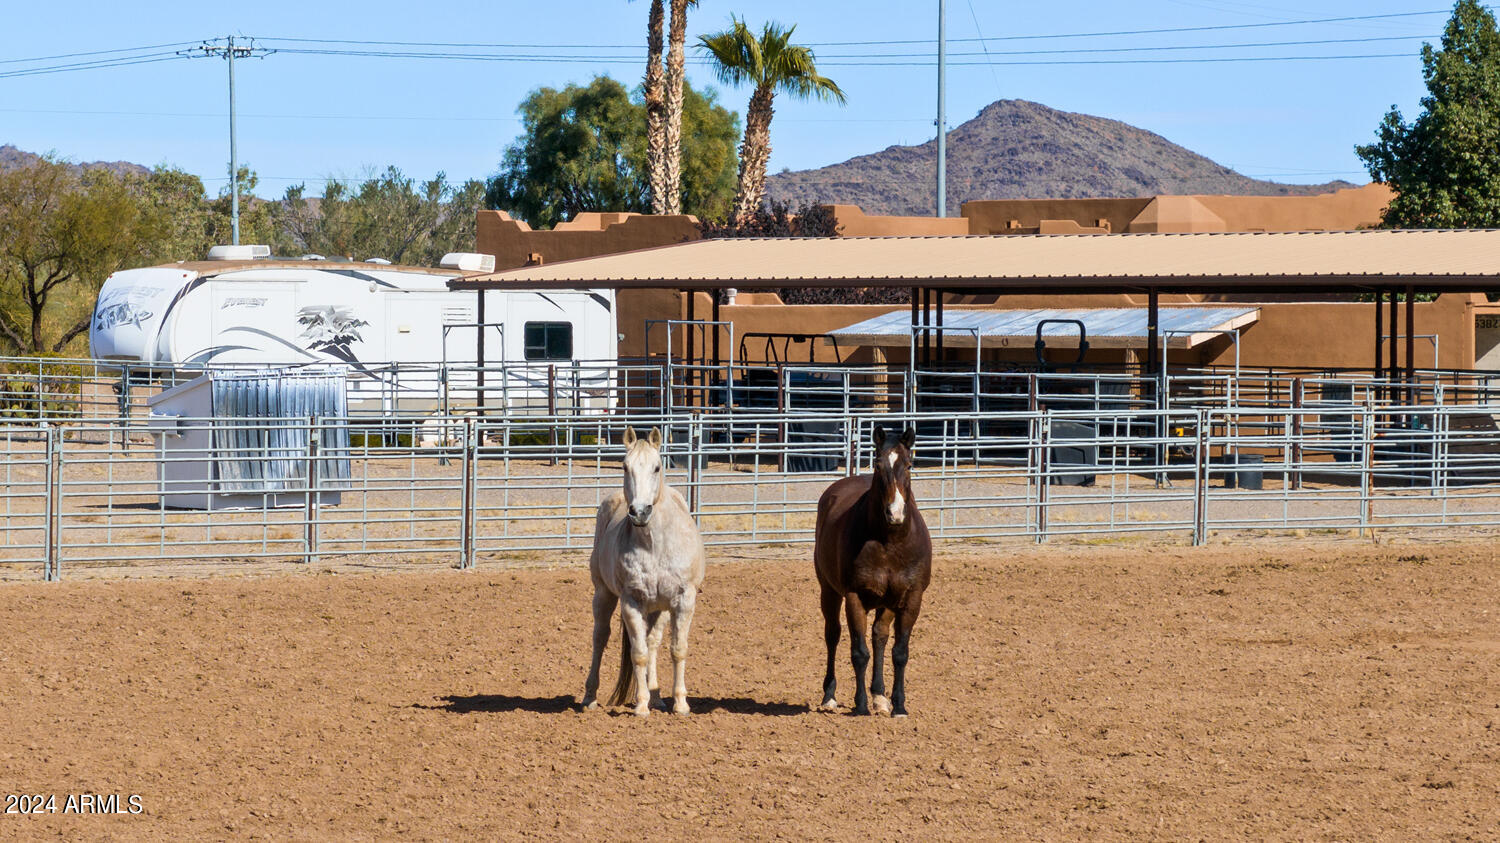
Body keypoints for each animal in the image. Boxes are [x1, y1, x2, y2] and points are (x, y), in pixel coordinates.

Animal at [582, 426, 705, 714]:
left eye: (657, 467)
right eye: (625, 466)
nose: (639, 512)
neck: (655, 544)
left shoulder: (683, 600)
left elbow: (677, 649)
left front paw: (680, 704)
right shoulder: (631, 601)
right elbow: (638, 654)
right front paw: (640, 706)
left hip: (659, 608)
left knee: (653, 643)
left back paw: (657, 696)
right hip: (603, 594)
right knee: (600, 637)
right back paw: (590, 697)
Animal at [822, 423, 924, 711]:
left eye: (909, 465)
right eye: (878, 464)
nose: (895, 513)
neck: (889, 542)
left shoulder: (911, 598)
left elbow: (899, 653)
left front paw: (898, 706)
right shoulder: (854, 597)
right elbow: (859, 652)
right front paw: (860, 705)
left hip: (887, 602)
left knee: (880, 636)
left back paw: (879, 696)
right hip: (829, 591)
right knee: (832, 635)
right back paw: (829, 696)